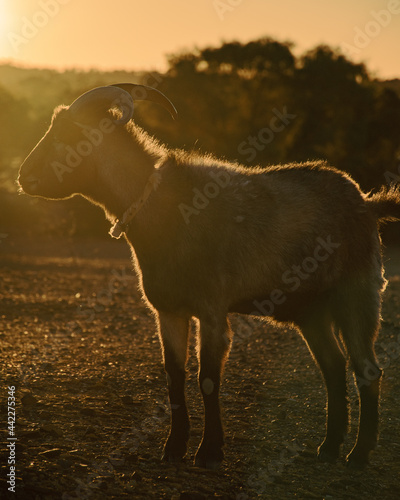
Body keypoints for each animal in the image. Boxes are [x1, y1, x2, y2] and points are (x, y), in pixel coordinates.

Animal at [17, 82, 400, 468]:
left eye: (67, 136)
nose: (22, 176)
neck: (166, 209)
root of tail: (367, 203)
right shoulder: (169, 311)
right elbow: (174, 376)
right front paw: (173, 448)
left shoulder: (213, 310)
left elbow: (208, 379)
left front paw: (210, 451)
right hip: (312, 312)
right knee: (334, 368)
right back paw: (329, 446)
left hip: (358, 295)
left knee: (367, 369)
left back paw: (358, 453)